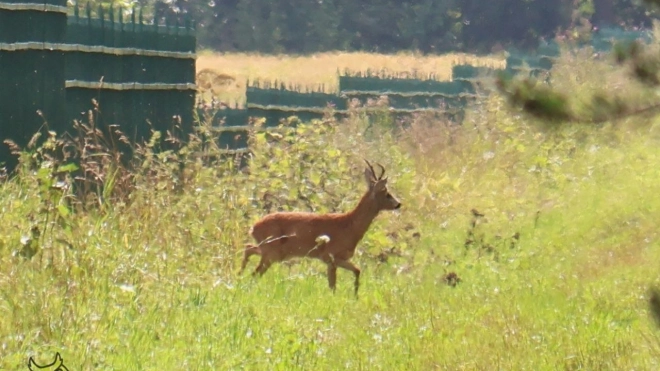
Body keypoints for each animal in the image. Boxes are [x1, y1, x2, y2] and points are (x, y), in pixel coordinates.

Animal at [238, 160, 402, 296]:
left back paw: (239, 276)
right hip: (272, 251)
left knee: (249, 249)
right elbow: (335, 284)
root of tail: (253, 227)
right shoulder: (330, 256)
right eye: (387, 193)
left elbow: (355, 271)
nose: (398, 204)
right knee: (255, 270)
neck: (349, 225)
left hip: (271, 251)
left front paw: (355, 296)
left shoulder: (335, 259)